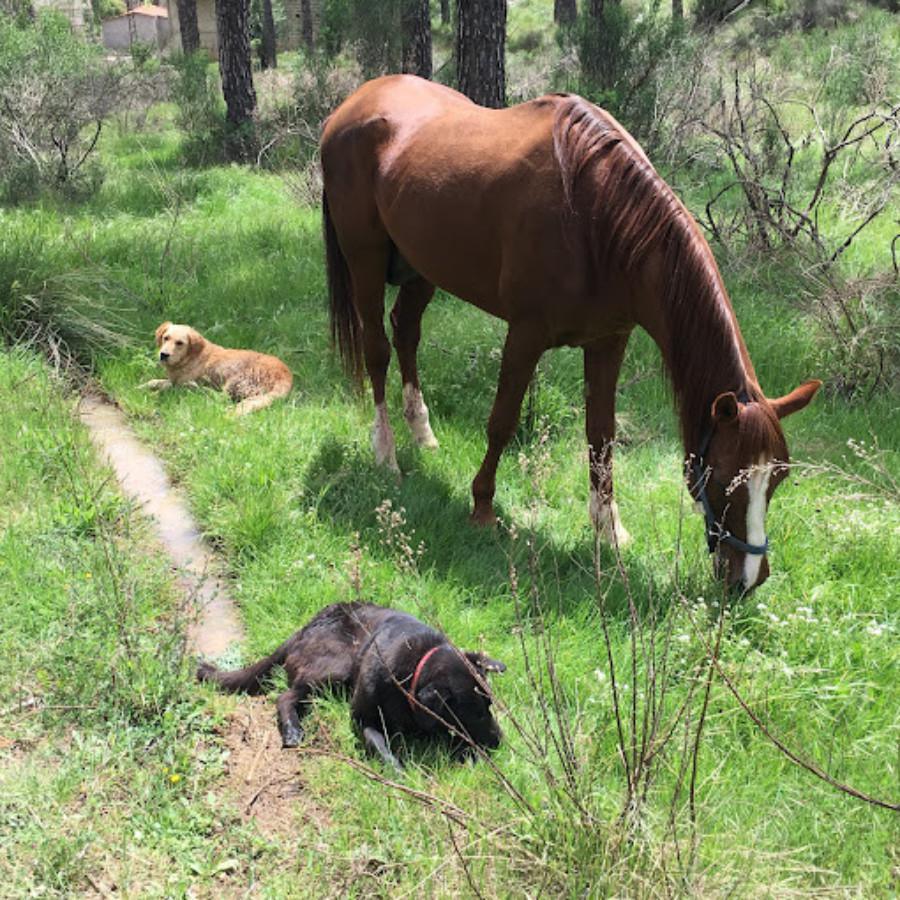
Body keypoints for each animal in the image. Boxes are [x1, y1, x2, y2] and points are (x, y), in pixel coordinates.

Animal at [142, 322, 292, 416]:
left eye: (180, 343)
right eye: (165, 338)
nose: (163, 355)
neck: (191, 356)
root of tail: (286, 376)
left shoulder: (180, 383)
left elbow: (167, 387)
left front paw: (152, 394)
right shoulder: (174, 380)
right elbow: (154, 381)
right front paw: (142, 386)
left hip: (237, 379)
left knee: (222, 398)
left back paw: (202, 391)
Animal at [322, 75, 824, 592]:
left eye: (778, 479)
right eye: (724, 478)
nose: (749, 579)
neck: (597, 218)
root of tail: (356, 102)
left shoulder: (608, 342)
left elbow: (600, 436)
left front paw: (608, 528)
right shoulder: (525, 334)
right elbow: (502, 422)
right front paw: (482, 507)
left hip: (423, 265)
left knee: (406, 332)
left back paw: (421, 431)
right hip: (364, 259)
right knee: (377, 349)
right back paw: (386, 452)